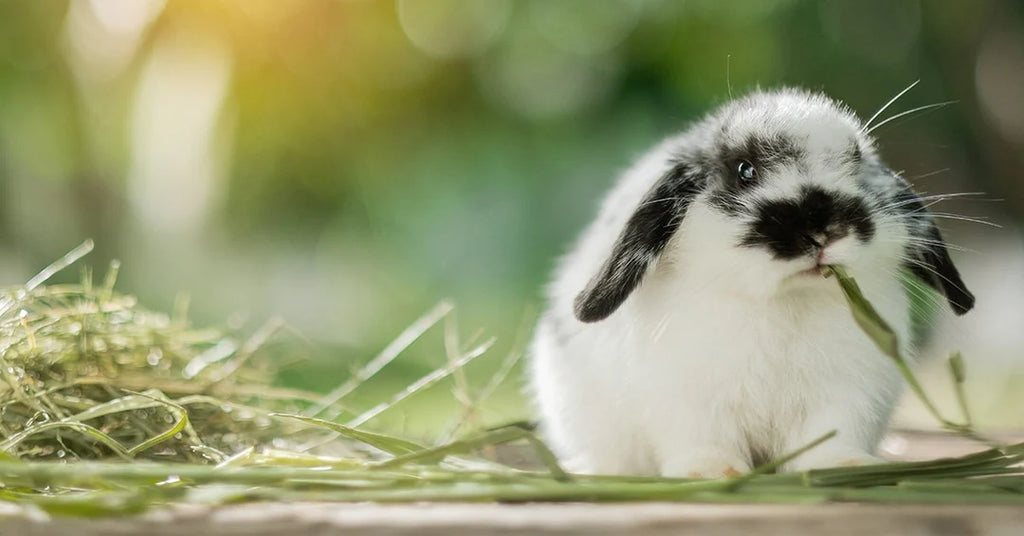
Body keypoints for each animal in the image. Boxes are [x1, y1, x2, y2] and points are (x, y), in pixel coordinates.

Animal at [528, 89, 975, 478]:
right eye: (745, 171)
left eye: (854, 162)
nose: (821, 230)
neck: (784, 302)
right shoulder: (688, 399)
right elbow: (703, 441)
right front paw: (710, 472)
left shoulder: (846, 396)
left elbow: (831, 437)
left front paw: (844, 466)